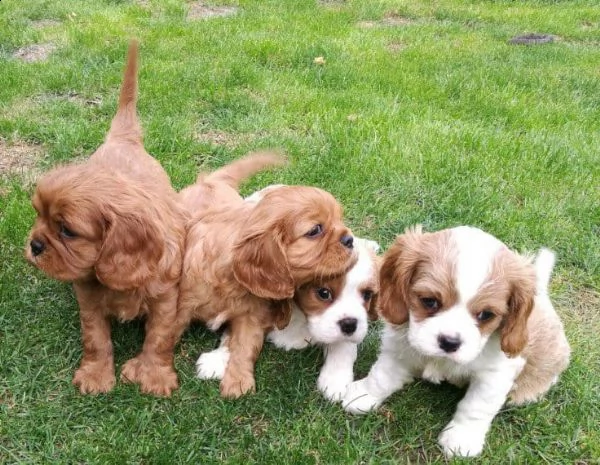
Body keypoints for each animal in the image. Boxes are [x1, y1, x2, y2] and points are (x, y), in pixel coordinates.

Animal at [24, 40, 186, 396]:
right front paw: (96, 375)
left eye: (67, 231)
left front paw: (155, 376)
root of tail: (122, 138)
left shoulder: (166, 299)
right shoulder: (88, 299)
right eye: (38, 214)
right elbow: (96, 338)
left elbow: (159, 338)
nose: (34, 246)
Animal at [178, 161, 356, 396]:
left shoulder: (252, 315)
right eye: (315, 230)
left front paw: (238, 381)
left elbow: (244, 344)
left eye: (339, 219)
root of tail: (208, 181)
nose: (350, 240)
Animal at [344, 226, 568, 456]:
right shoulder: (400, 348)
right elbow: (381, 376)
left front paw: (461, 439)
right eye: (429, 301)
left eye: (486, 315)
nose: (450, 342)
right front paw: (363, 395)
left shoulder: (494, 375)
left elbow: (476, 407)